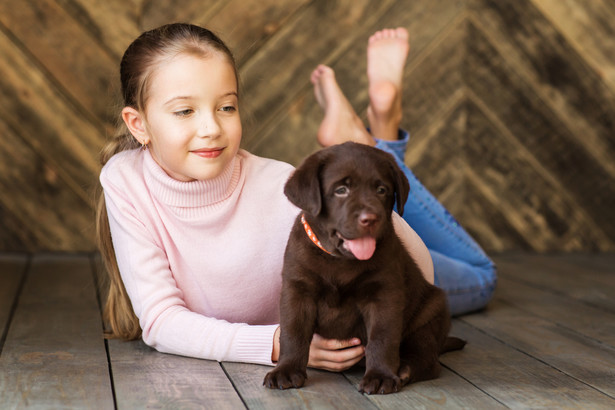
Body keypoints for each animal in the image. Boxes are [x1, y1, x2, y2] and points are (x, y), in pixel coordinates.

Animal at [262, 142, 464, 394]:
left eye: (382, 190)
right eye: (341, 190)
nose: (371, 218)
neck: (339, 261)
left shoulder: (384, 295)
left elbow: (382, 338)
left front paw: (380, 376)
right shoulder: (297, 290)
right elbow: (293, 333)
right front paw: (286, 371)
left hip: (429, 316)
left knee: (428, 359)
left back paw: (405, 370)